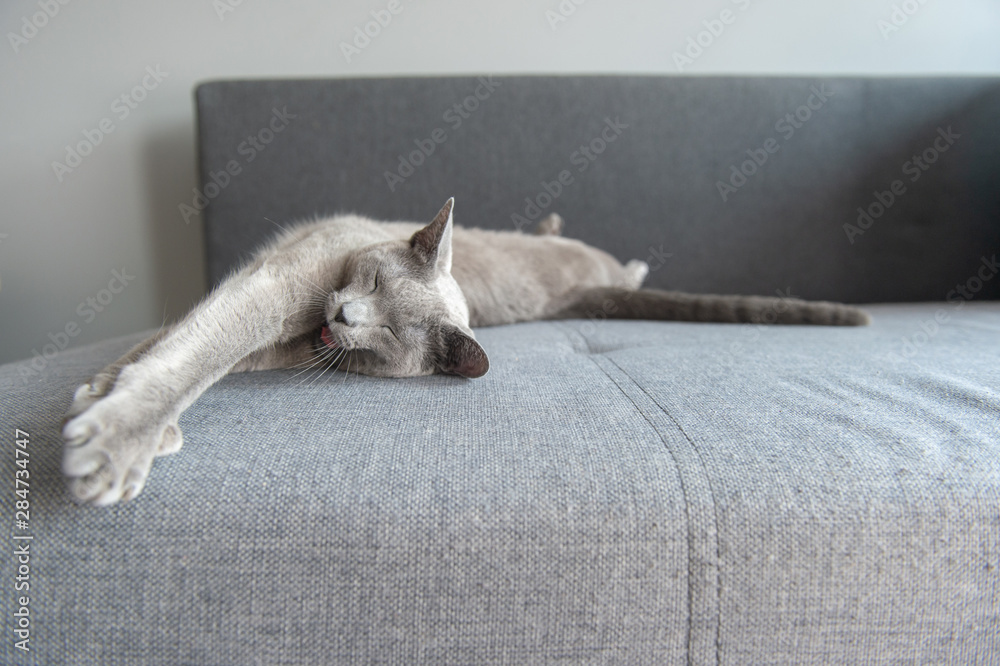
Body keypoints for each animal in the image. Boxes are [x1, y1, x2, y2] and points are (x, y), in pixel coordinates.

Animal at [66, 197, 872, 504]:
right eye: (377, 283)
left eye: (387, 336)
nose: (346, 313)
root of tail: (581, 291)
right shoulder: (277, 287)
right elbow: (194, 342)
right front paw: (112, 414)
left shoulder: (288, 331)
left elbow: (200, 350)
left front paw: (115, 428)